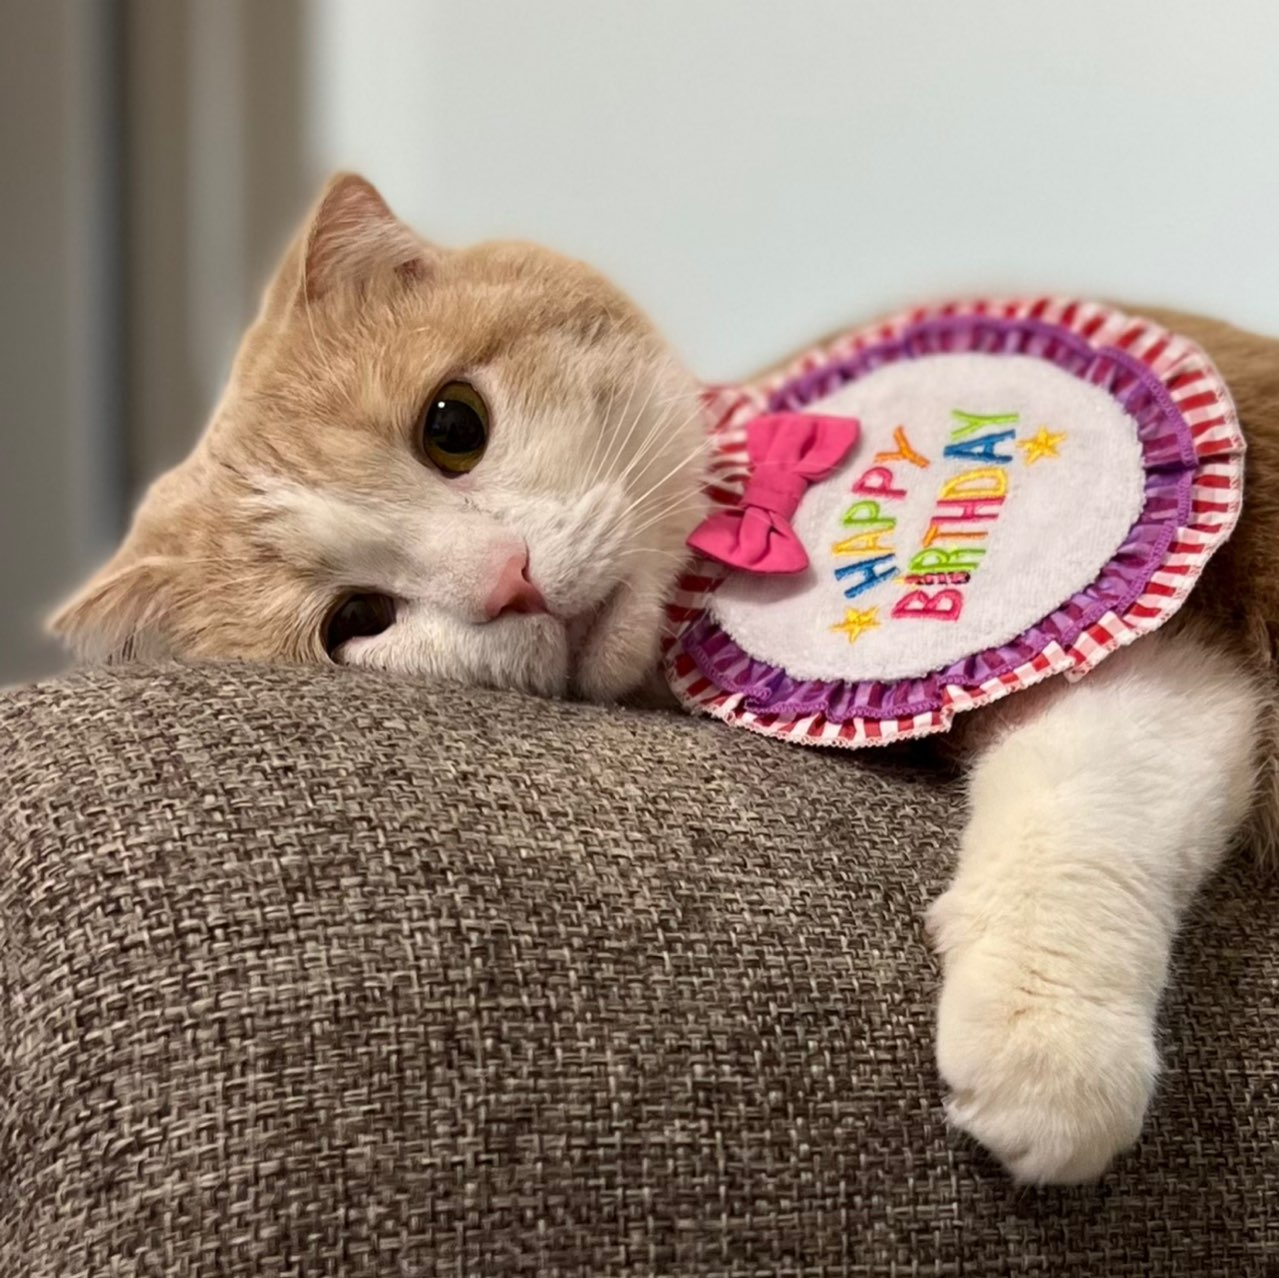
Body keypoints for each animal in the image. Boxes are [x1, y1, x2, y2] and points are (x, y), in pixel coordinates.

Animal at [52, 173, 1279, 1185]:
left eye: (453, 426)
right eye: (354, 624)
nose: (507, 582)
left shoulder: (1154, 664)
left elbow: (1079, 803)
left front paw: (1041, 1051)